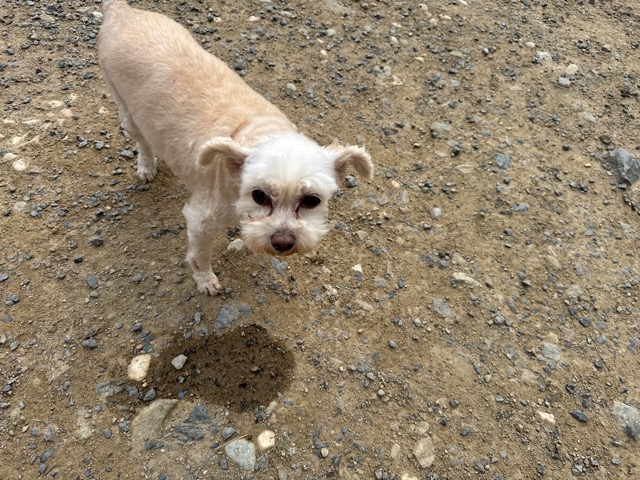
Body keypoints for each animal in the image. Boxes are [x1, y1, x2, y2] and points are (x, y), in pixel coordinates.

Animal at [97, 0, 373, 295]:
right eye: (259, 195)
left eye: (312, 200)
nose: (283, 242)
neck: (258, 133)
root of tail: (121, 11)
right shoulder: (200, 220)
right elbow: (199, 257)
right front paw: (205, 281)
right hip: (124, 105)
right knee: (142, 140)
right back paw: (147, 166)